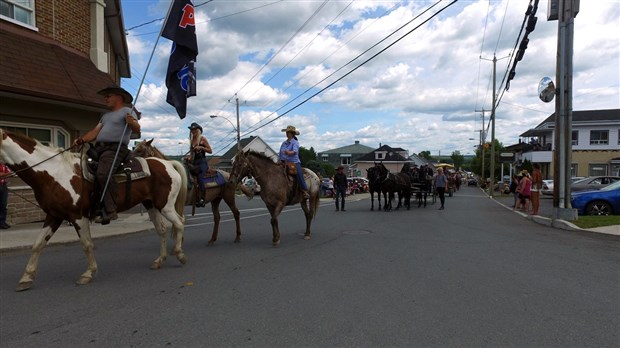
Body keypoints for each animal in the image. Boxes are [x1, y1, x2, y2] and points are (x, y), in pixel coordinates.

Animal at [0, 129, 189, 292]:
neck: (54, 173)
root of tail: (168, 163)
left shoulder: (77, 216)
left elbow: (86, 244)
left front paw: (88, 273)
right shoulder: (54, 216)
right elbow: (38, 244)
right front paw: (26, 278)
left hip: (165, 206)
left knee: (180, 223)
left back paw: (180, 254)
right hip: (151, 205)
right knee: (162, 230)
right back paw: (159, 260)